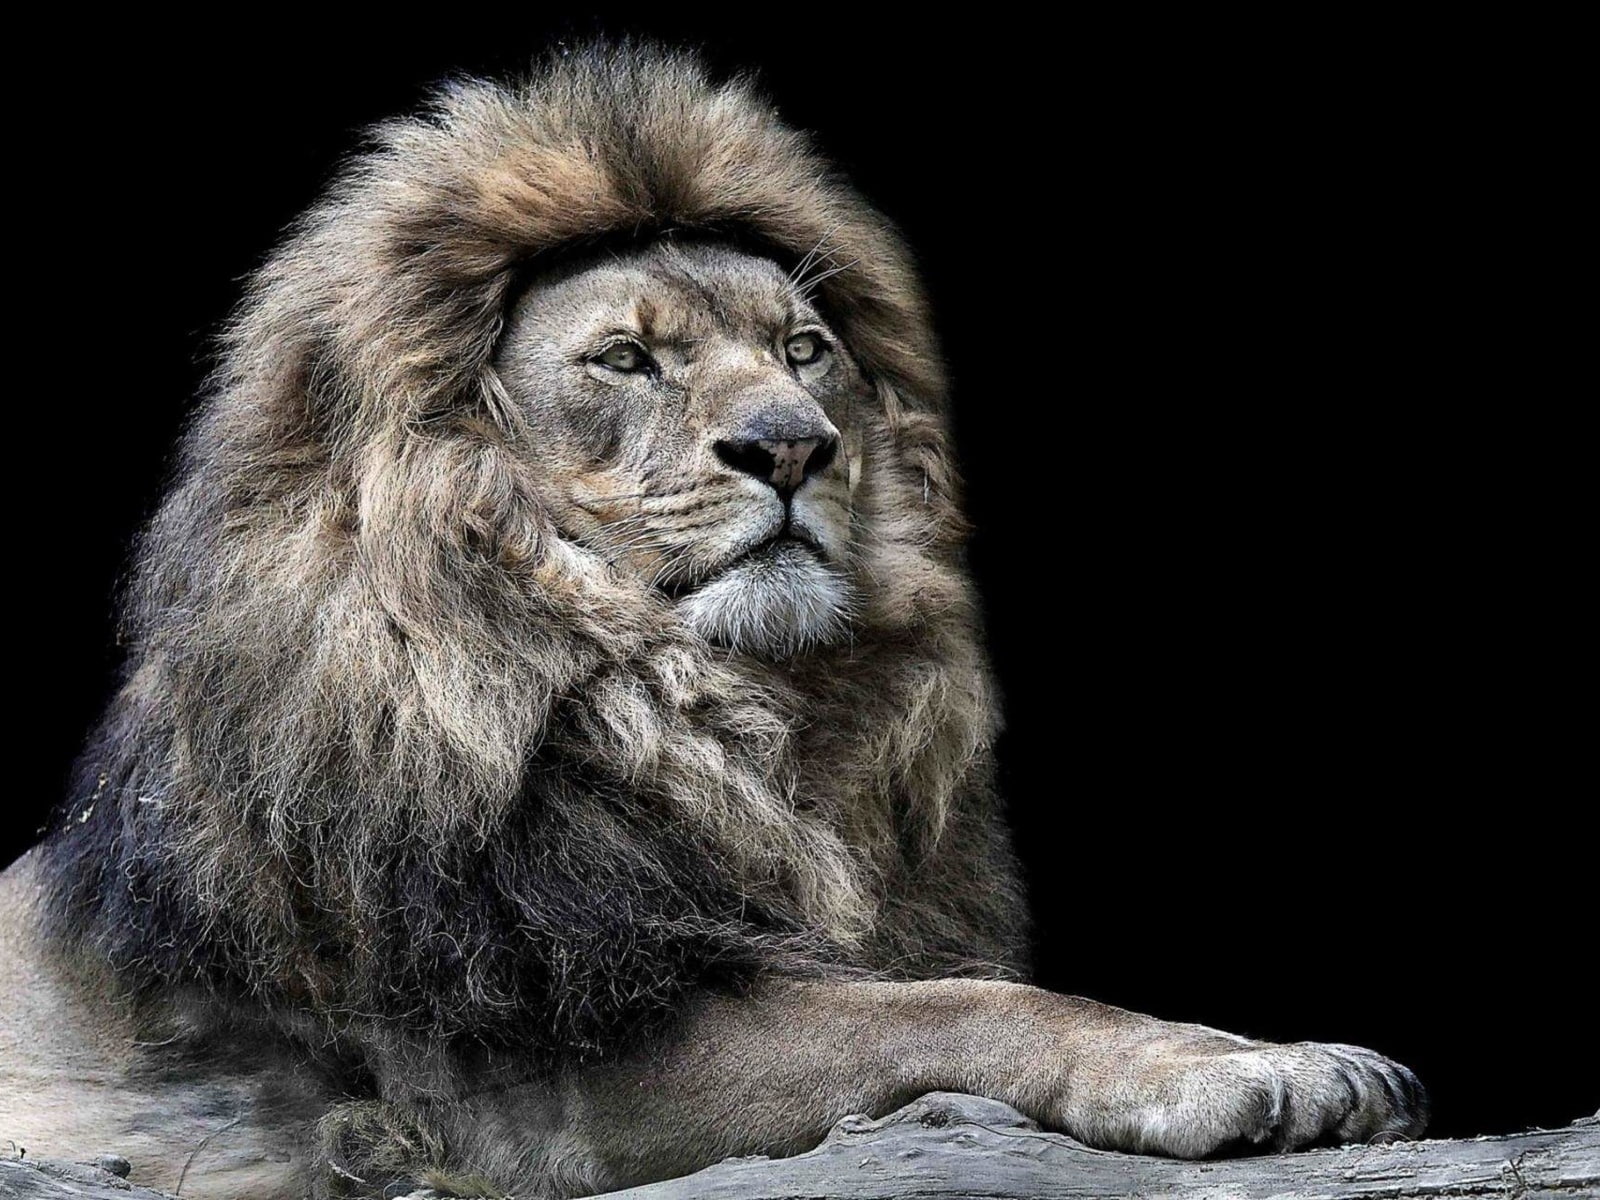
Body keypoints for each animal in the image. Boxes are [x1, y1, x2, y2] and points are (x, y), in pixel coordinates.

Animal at [0, 43, 1427, 1199]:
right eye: (627, 361)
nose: (792, 447)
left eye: (802, 350)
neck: (697, 708)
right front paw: (1246, 1069)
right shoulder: (520, 1074)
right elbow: (962, 1010)